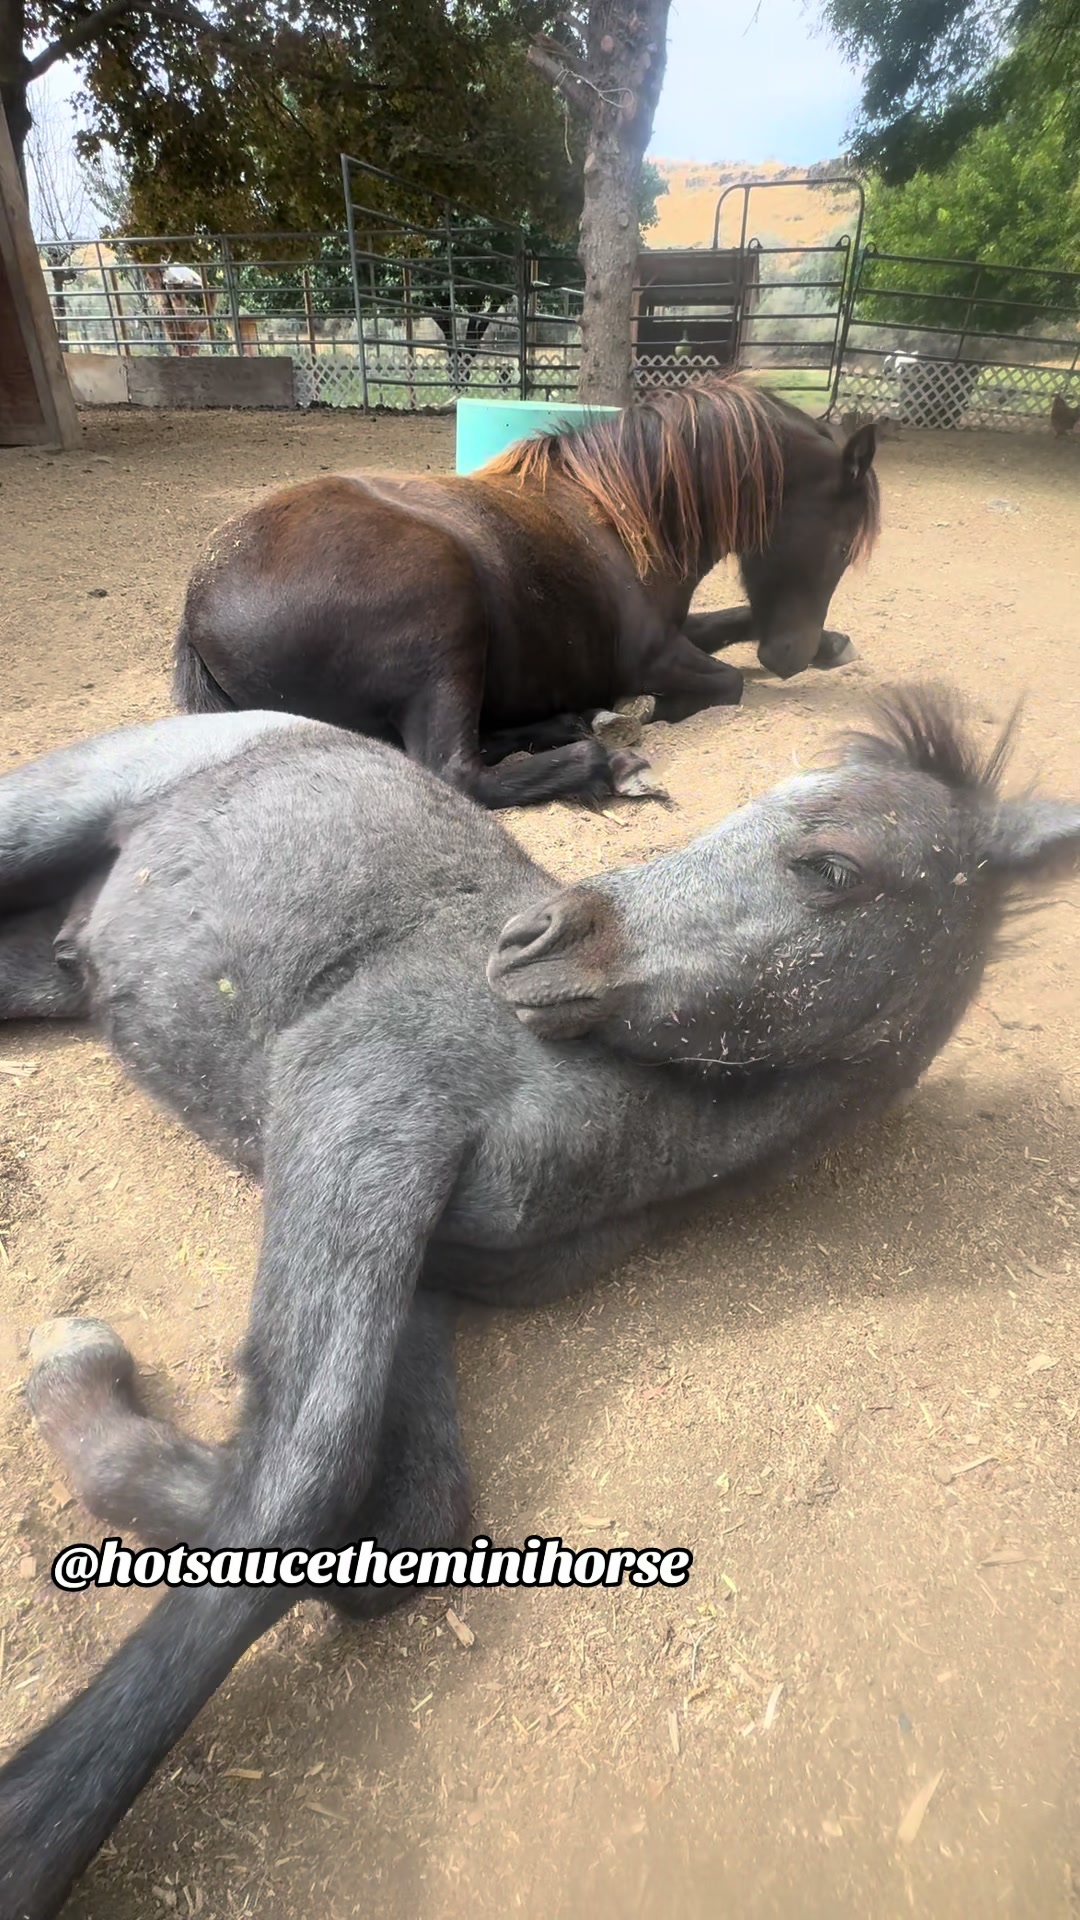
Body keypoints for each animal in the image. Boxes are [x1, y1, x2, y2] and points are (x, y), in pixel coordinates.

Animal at [1, 687, 1076, 1919]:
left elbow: (406, 1516)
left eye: (832, 868)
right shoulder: (357, 1109)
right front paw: (34, 1825)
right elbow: (298, 1485)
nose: (531, 940)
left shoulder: (421, 1262)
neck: (615, 1115)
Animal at [171, 378, 881, 809]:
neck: (622, 513)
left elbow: (734, 620)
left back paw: (575, 723)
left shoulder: (678, 629)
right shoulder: (651, 656)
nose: (790, 656)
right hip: (446, 622)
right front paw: (653, 710)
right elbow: (726, 682)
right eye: (842, 545)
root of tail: (198, 605)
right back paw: (610, 759)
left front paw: (834, 645)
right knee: (453, 769)